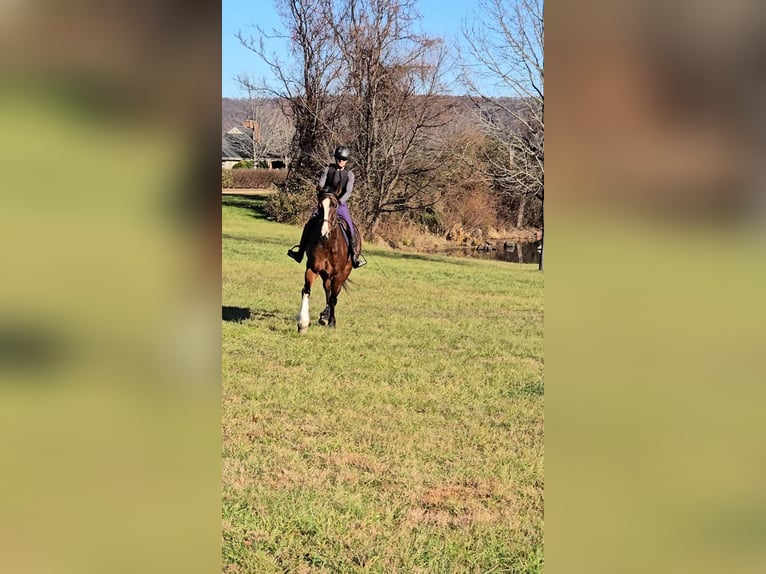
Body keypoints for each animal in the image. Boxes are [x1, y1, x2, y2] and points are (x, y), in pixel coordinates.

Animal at [295, 190, 358, 333]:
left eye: (334, 205)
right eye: (319, 206)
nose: (324, 233)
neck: (328, 243)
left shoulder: (338, 275)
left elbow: (334, 299)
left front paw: (332, 322)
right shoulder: (312, 269)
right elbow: (306, 291)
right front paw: (303, 324)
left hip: (344, 273)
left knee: (333, 295)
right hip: (326, 275)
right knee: (327, 291)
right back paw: (324, 316)